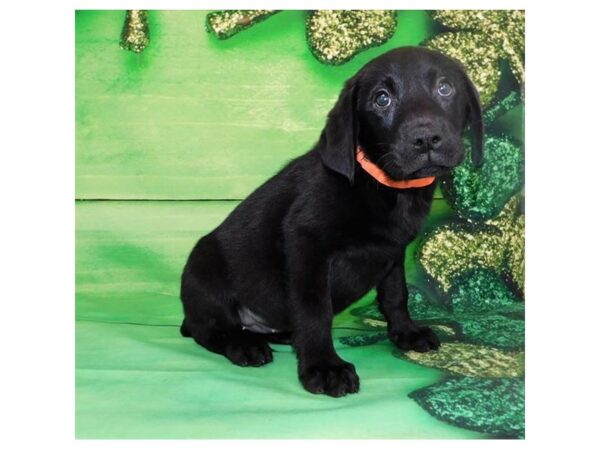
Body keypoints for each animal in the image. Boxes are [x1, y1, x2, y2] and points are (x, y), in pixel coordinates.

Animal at [178, 45, 482, 398]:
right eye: (382, 99)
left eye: (445, 88)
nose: (426, 138)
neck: (382, 186)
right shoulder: (306, 245)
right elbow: (315, 310)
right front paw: (324, 366)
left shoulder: (392, 252)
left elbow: (396, 295)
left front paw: (406, 333)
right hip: (204, 270)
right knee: (207, 329)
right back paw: (244, 344)